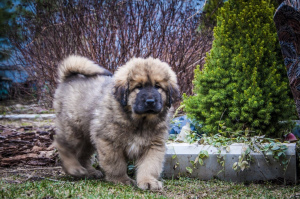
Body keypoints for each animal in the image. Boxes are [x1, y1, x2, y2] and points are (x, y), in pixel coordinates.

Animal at [52, 55, 179, 190]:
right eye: (138, 87)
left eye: (157, 86)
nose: (150, 101)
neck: (140, 122)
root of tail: (69, 77)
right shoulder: (109, 141)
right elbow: (116, 164)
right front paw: (121, 180)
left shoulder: (153, 145)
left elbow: (150, 165)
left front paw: (148, 181)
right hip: (73, 129)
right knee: (63, 144)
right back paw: (74, 168)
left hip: (87, 136)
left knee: (83, 154)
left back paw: (89, 172)